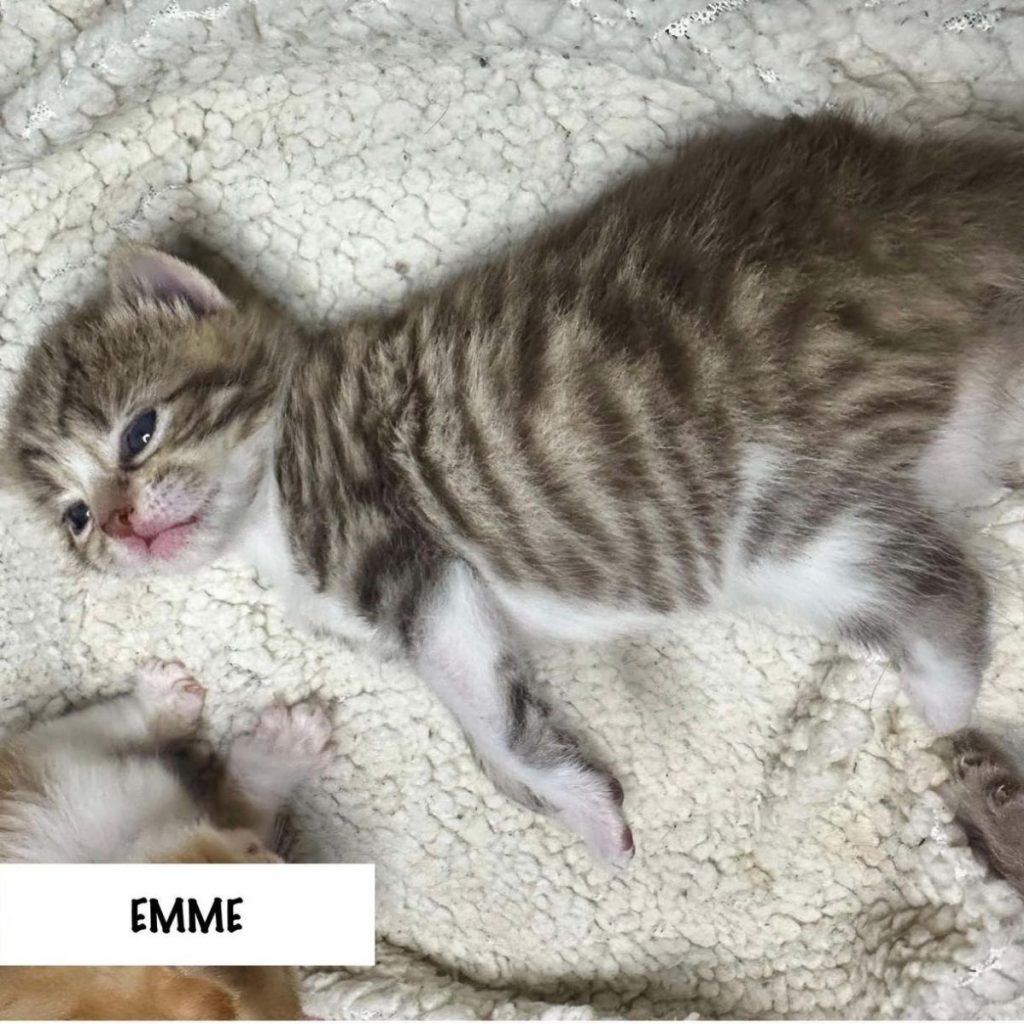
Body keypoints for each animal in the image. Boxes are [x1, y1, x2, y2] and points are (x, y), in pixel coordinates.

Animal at [6, 112, 1024, 864]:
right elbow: (492, 696)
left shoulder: (405, 555)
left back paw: (946, 705)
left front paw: (574, 803)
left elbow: (480, 715)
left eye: (138, 433)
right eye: (76, 519)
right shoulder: (450, 600)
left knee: (945, 582)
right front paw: (572, 798)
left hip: (773, 507)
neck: (271, 483)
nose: (122, 528)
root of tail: (924, 201)